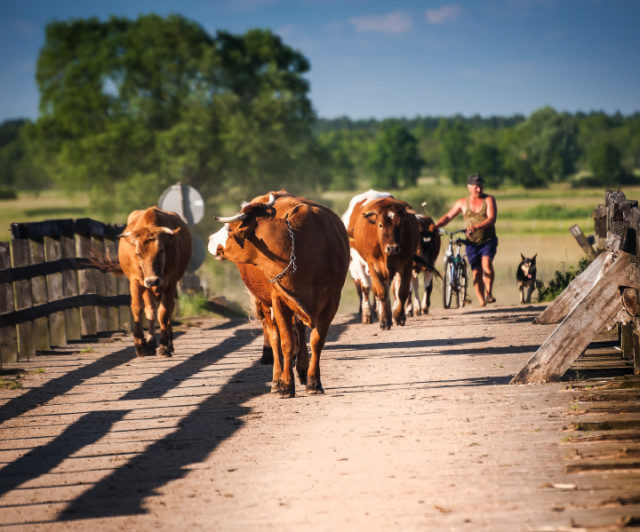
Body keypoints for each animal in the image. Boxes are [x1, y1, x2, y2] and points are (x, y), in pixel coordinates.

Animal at [90, 208, 190, 358]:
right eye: (137, 253)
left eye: (161, 251)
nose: (152, 280)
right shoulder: (136, 281)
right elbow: (137, 308)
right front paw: (141, 345)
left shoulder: (170, 282)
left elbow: (163, 313)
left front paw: (164, 345)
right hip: (146, 287)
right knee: (150, 310)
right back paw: (150, 342)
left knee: (167, 310)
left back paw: (169, 344)